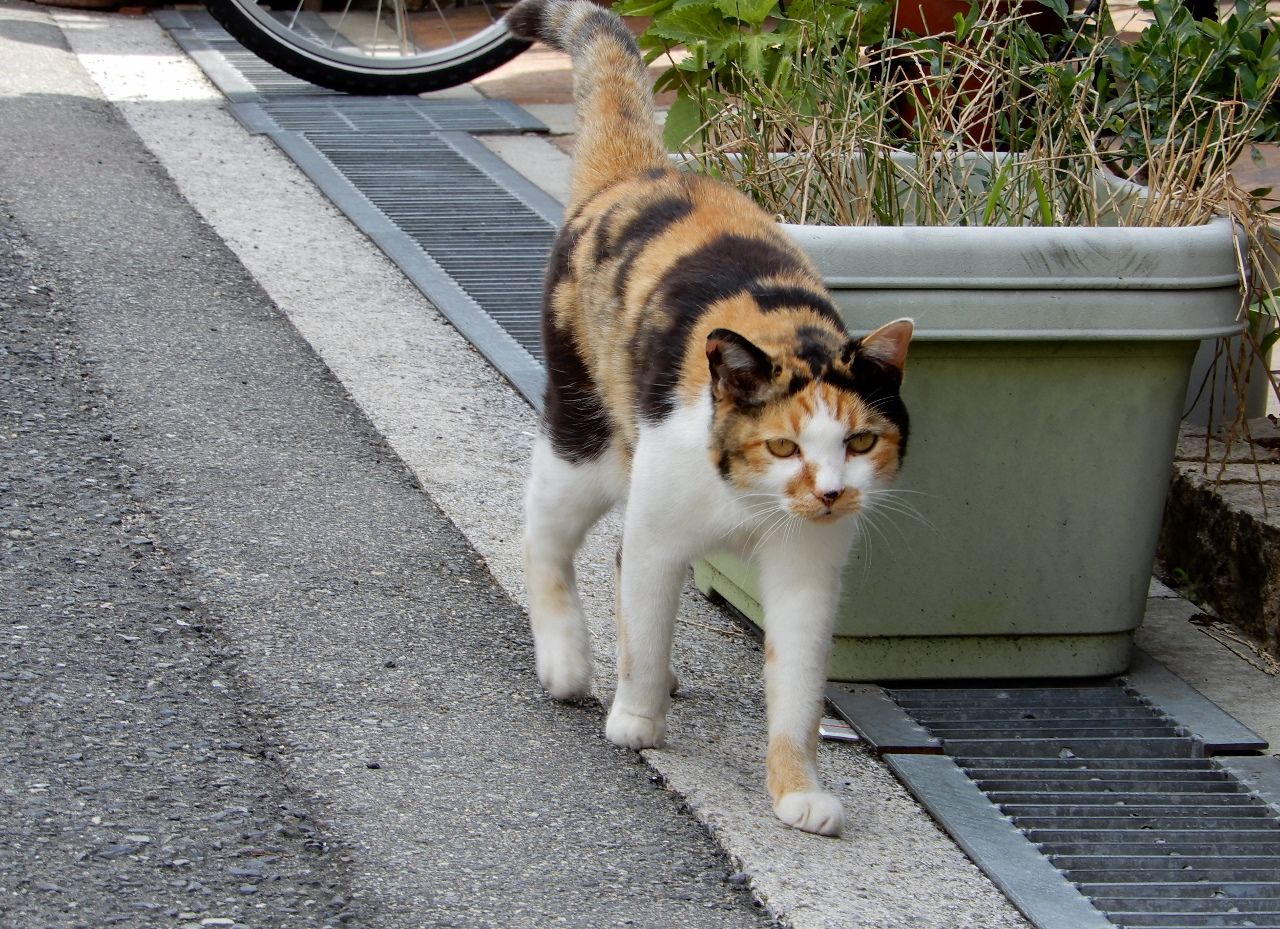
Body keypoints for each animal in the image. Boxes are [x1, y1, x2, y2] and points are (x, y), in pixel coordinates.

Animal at [504, 0, 916, 839]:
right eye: (783, 444)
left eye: (860, 440)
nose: (830, 492)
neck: (750, 504)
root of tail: (643, 170)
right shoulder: (660, 534)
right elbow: (643, 620)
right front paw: (635, 718)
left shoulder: (805, 575)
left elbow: (796, 690)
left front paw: (797, 789)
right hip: (584, 441)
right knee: (544, 537)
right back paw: (567, 660)